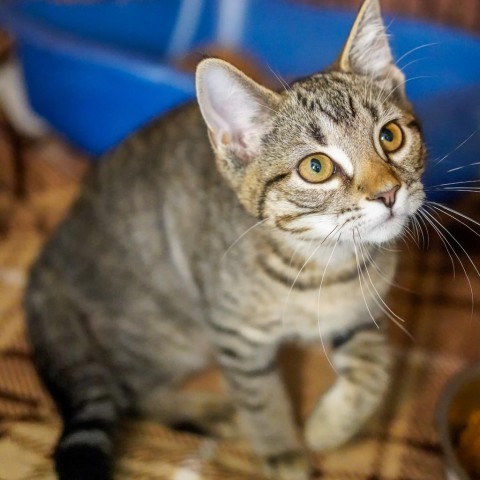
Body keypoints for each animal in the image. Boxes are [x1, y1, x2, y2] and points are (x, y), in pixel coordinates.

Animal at [24, 0, 426, 478]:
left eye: (390, 136)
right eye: (316, 167)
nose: (388, 193)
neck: (322, 264)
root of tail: (53, 244)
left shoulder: (359, 314)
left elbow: (374, 370)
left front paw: (328, 428)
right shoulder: (237, 336)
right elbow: (262, 400)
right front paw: (285, 454)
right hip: (166, 331)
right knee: (129, 392)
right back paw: (206, 411)